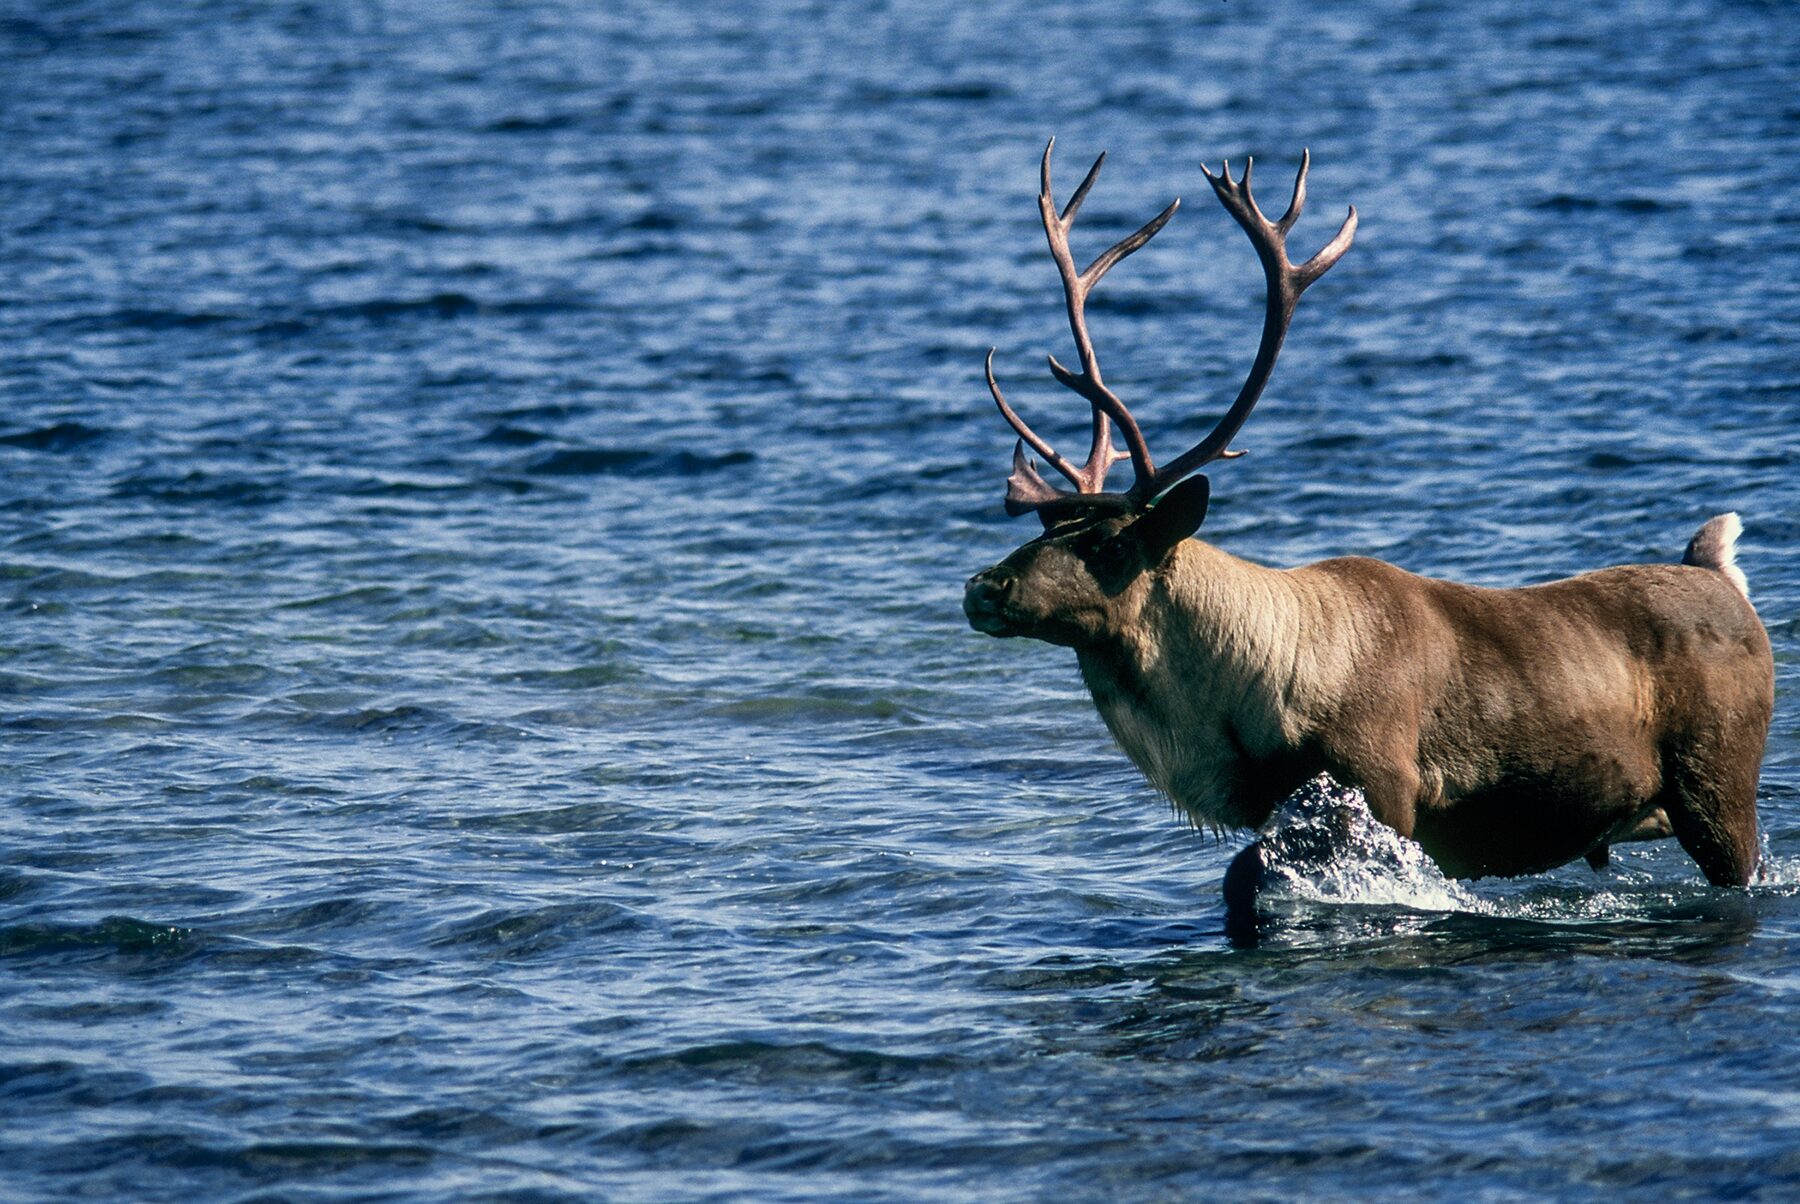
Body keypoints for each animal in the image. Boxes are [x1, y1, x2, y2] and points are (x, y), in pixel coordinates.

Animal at [964, 143, 1778, 892]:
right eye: (1043, 530)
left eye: (1107, 542)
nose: (983, 587)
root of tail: (1721, 574)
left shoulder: (1383, 788)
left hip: (1718, 785)